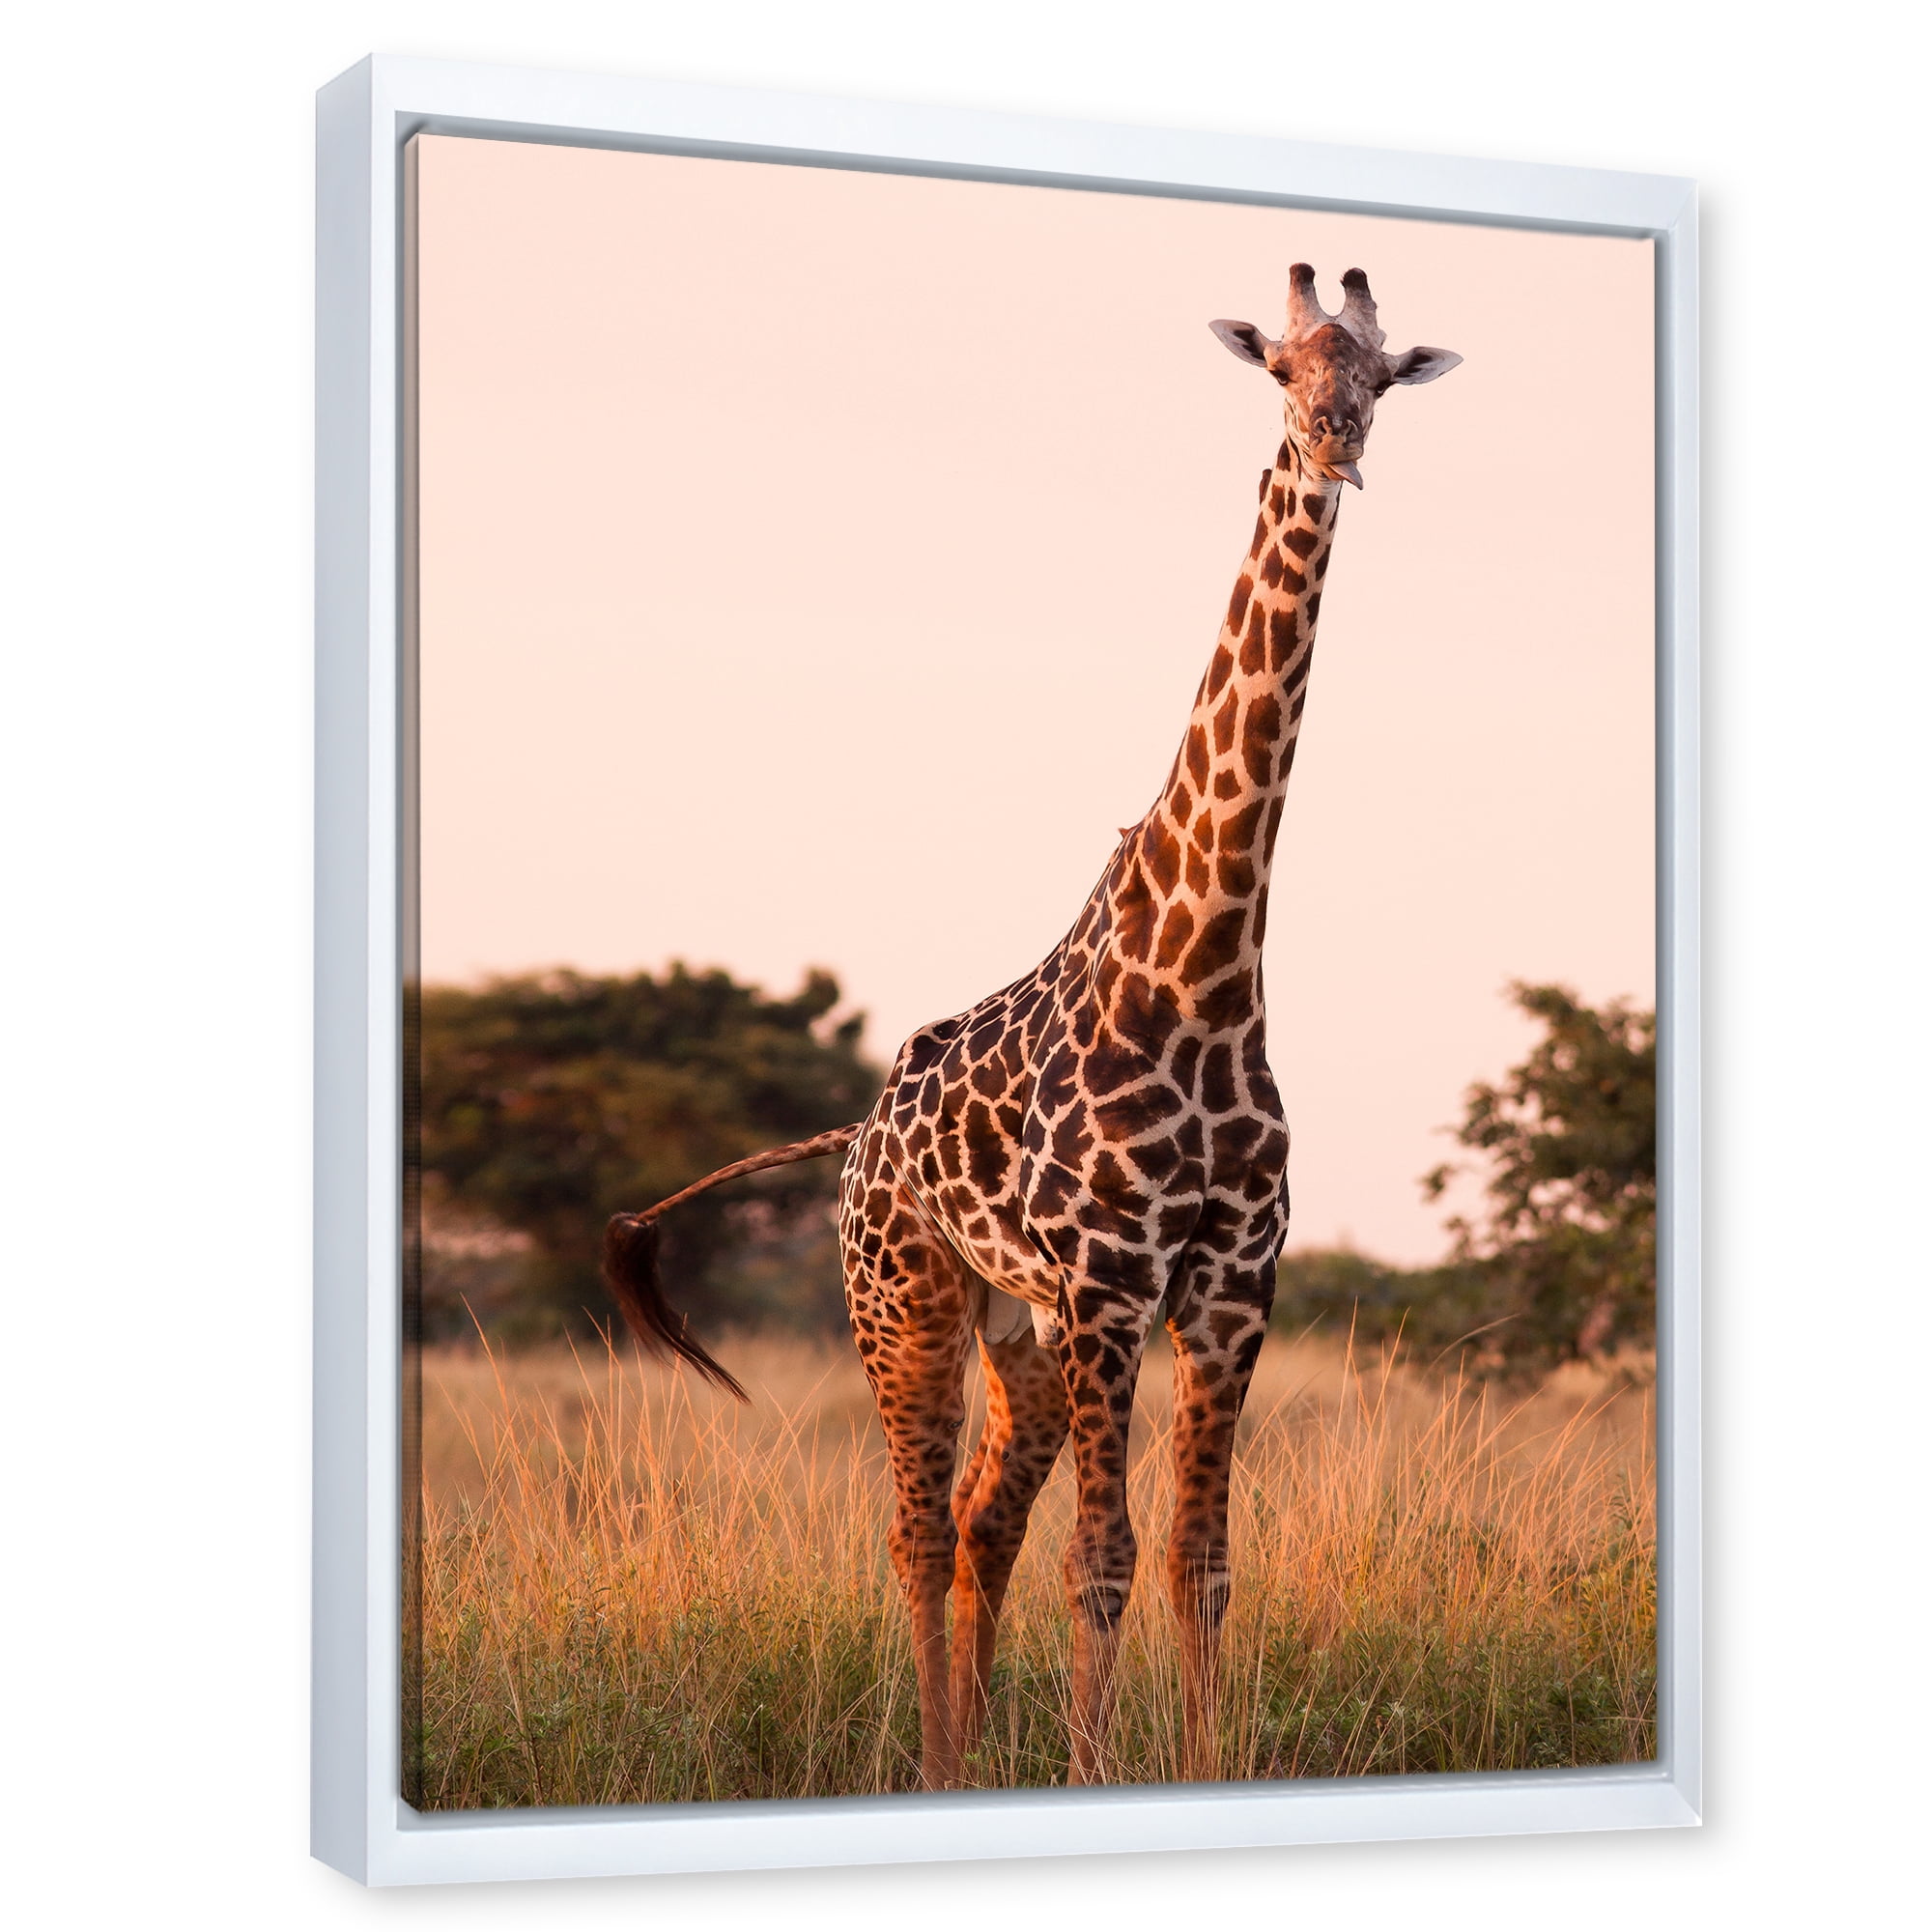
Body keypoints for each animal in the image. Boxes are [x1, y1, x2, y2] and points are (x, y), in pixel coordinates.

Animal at [602, 264, 1460, 1789]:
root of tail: (857, 1134)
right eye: (1278, 369)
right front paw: (1091, 1770)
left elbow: (1199, 1562)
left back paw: (965, 1752)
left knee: (981, 1527)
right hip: (908, 1303)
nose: (1334, 442)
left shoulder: (1227, 1286)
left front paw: (1191, 1765)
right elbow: (1104, 1559)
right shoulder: (1115, 1283)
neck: (1205, 975)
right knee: (917, 1529)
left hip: (1022, 1333)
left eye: (1375, 374)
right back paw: (942, 1764)